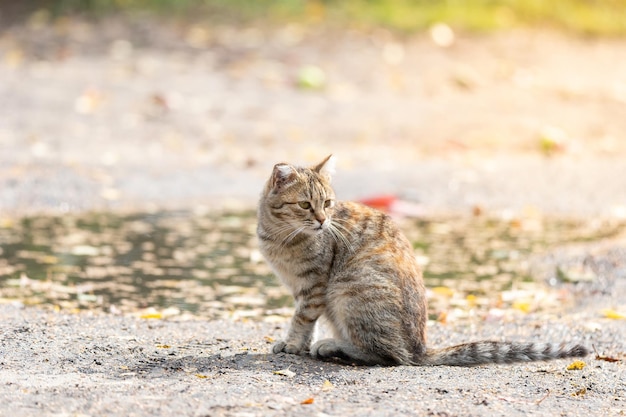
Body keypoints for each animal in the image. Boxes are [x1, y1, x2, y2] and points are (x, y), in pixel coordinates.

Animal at [256, 155, 588, 364]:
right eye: (304, 205)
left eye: (327, 203)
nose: (323, 221)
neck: (280, 236)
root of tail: (421, 348)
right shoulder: (302, 289)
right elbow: (307, 320)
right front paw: (296, 344)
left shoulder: (314, 286)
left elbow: (302, 318)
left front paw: (294, 344)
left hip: (349, 290)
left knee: (391, 355)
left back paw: (335, 347)